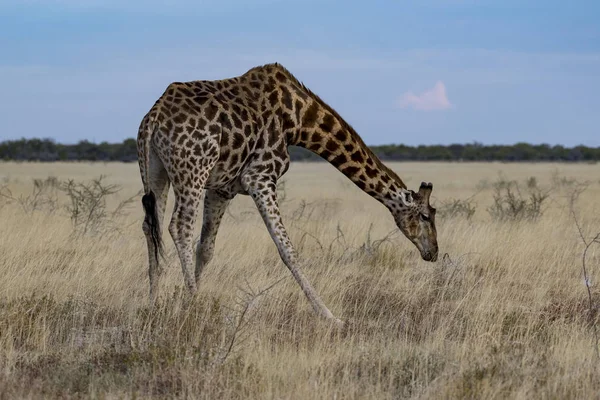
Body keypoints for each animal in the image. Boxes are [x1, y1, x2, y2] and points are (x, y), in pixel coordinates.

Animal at [137, 63, 436, 324]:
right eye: (425, 216)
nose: (433, 252)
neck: (298, 120)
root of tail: (155, 117)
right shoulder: (259, 176)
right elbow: (288, 250)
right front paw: (330, 316)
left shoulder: (221, 188)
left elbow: (206, 248)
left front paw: (183, 301)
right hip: (193, 170)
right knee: (180, 226)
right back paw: (192, 308)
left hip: (155, 171)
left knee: (152, 226)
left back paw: (153, 304)